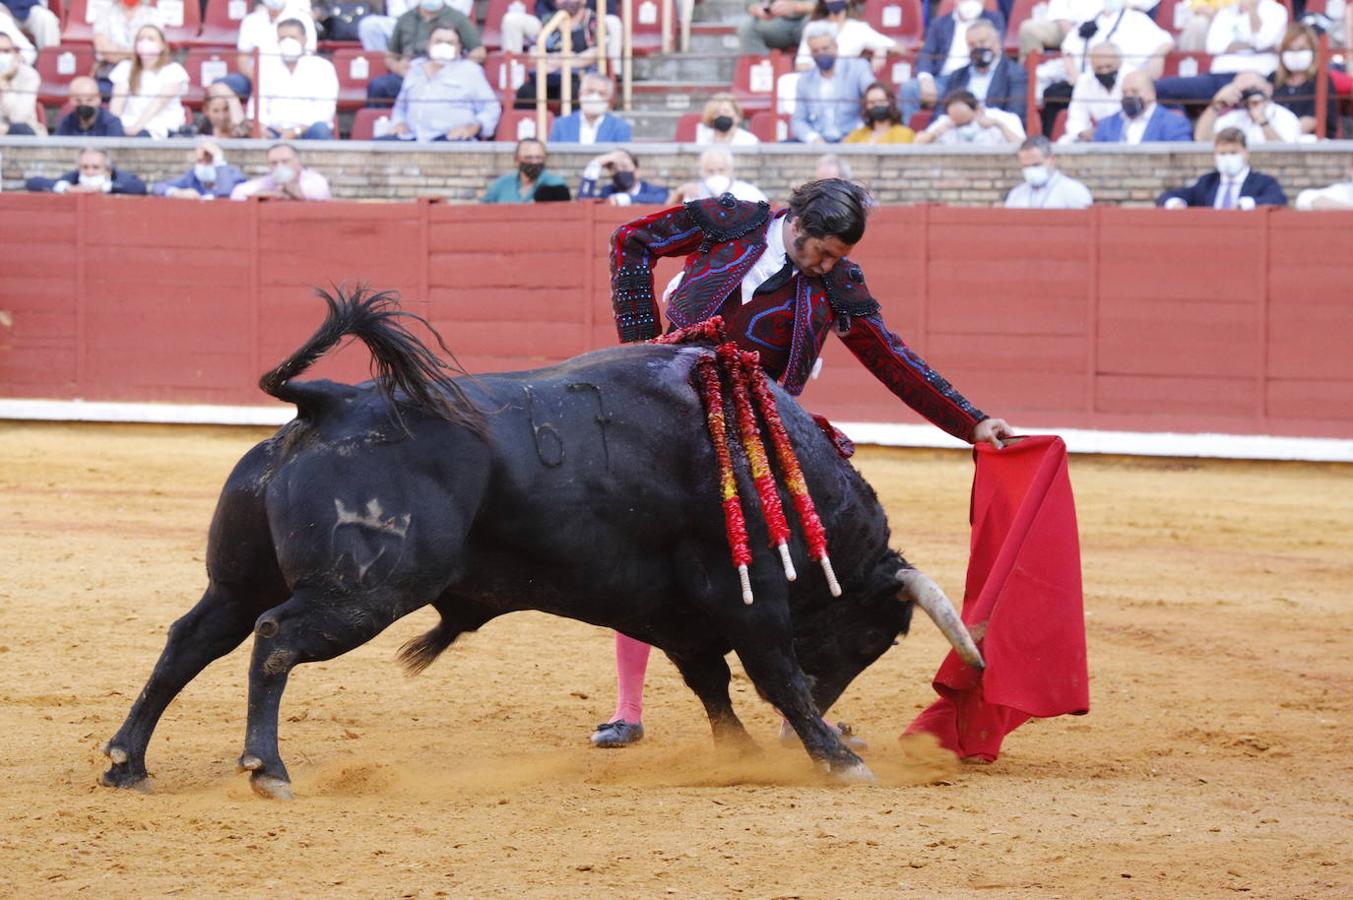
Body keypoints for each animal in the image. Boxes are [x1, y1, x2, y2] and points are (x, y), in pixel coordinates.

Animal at [98, 285, 984, 795]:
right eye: (874, 638)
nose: (842, 716)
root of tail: (329, 402)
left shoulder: (679, 613)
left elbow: (712, 686)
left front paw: (737, 755)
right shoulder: (751, 599)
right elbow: (776, 678)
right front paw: (835, 757)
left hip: (238, 577)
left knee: (190, 640)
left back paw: (128, 762)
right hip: (365, 591)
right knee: (275, 639)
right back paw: (267, 769)